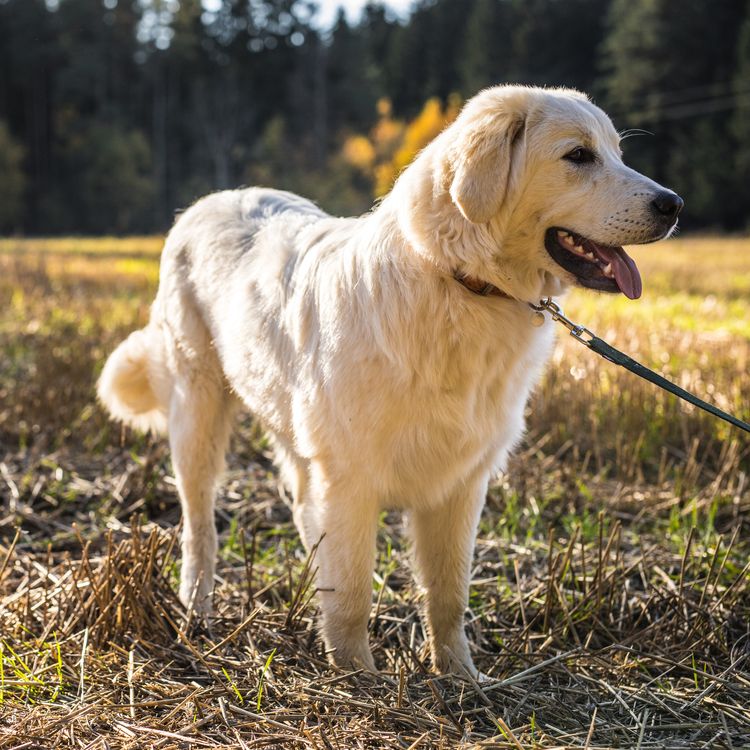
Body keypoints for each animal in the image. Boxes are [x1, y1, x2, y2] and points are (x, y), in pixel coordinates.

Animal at [97, 85, 684, 680]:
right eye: (578, 156)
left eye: (616, 152)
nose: (673, 204)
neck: (459, 283)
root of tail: (210, 201)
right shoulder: (350, 478)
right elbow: (354, 590)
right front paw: (357, 678)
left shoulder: (459, 484)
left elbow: (448, 594)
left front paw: (460, 676)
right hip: (198, 417)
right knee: (201, 528)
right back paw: (196, 610)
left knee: (303, 507)